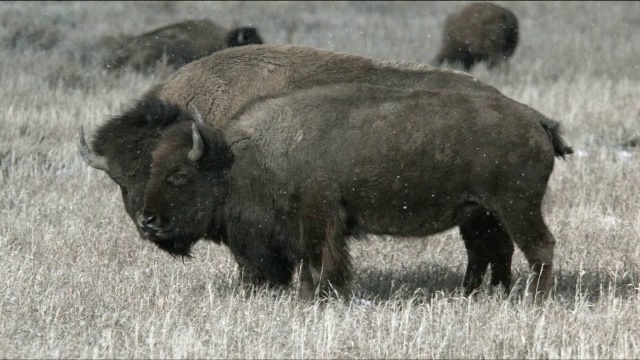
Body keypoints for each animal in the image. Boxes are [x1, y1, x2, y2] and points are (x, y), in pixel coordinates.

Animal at [77, 43, 512, 296]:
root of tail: (497, 96)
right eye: (120, 179)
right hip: (478, 212)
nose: (147, 224)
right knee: (488, 246)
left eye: (169, 174)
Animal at [136, 83, 576, 300]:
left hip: (516, 208)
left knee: (538, 247)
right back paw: (483, 296)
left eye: (179, 176)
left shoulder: (319, 221)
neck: (241, 156)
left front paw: (316, 299)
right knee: (493, 252)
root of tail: (538, 121)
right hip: (482, 214)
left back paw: (535, 301)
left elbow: (320, 264)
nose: (146, 221)